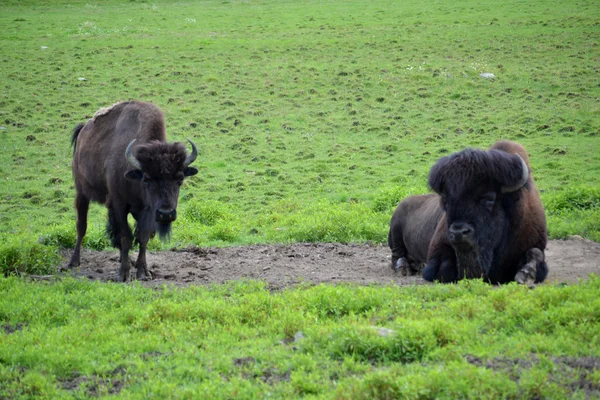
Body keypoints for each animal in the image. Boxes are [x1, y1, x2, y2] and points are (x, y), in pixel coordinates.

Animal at [66, 100, 198, 282]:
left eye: (180, 179)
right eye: (147, 179)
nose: (166, 214)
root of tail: (83, 131)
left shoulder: (147, 211)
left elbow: (143, 237)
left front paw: (143, 271)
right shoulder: (119, 205)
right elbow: (125, 236)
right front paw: (123, 273)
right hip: (82, 193)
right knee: (81, 226)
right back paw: (73, 262)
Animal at [390, 141, 548, 284]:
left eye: (489, 198)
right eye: (446, 200)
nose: (459, 233)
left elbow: (536, 253)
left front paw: (526, 274)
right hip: (395, 233)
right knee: (397, 255)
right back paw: (404, 268)